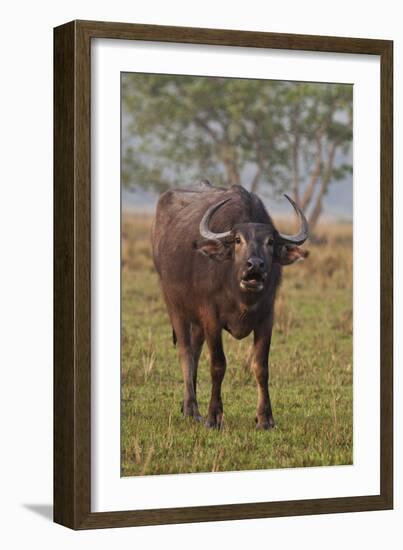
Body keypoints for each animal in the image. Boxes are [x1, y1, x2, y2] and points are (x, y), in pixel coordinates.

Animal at [152, 181, 310, 432]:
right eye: (238, 240)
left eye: (270, 242)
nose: (255, 265)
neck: (241, 296)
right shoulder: (211, 317)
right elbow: (218, 365)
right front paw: (214, 417)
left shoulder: (266, 318)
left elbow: (261, 367)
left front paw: (265, 418)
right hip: (174, 305)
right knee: (186, 352)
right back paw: (192, 409)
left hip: (197, 321)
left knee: (195, 351)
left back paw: (188, 406)